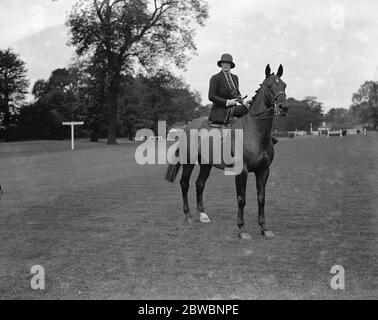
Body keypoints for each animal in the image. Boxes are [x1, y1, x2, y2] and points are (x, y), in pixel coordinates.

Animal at [165, 64, 286, 240]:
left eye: (284, 85)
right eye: (269, 86)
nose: (284, 107)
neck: (254, 132)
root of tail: (188, 125)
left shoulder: (264, 171)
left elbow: (261, 198)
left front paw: (264, 228)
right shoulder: (241, 171)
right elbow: (241, 199)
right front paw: (242, 229)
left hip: (206, 163)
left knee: (200, 183)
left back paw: (203, 215)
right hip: (189, 162)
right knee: (184, 183)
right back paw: (188, 216)